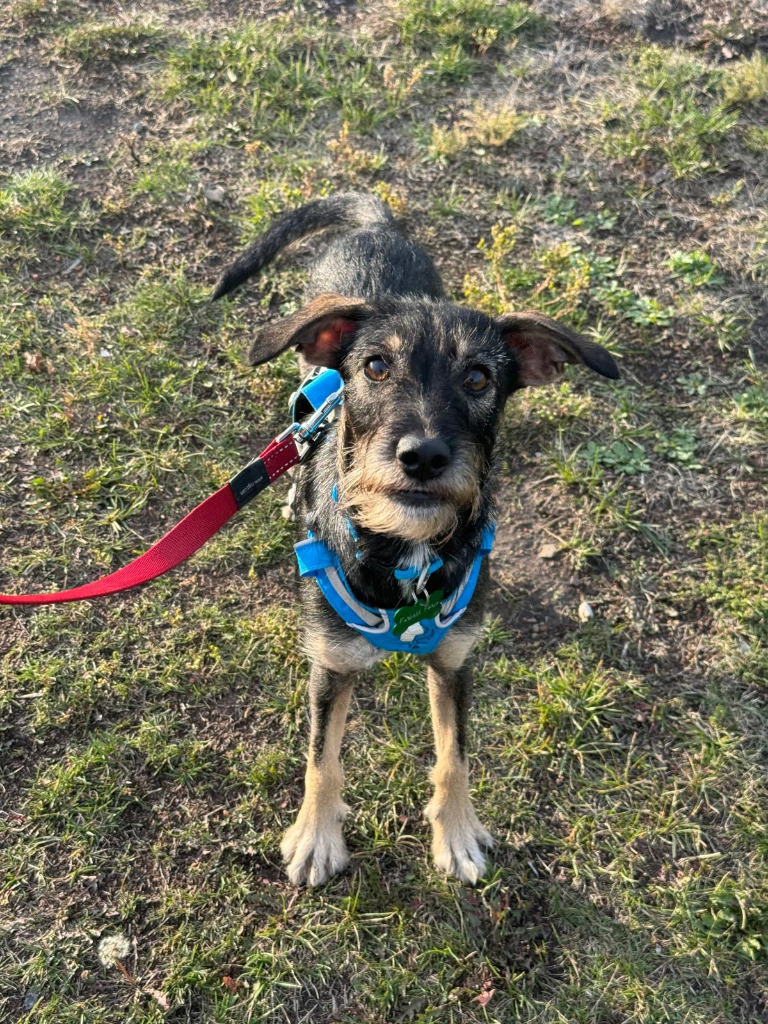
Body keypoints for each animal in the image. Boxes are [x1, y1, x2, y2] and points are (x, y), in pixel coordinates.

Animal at [214, 193, 622, 888]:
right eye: (376, 366)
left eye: (480, 378)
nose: (423, 456)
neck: (405, 551)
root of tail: (376, 227)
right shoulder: (330, 665)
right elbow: (321, 758)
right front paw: (315, 837)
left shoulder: (456, 661)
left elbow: (453, 755)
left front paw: (456, 834)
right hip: (307, 376)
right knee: (299, 426)